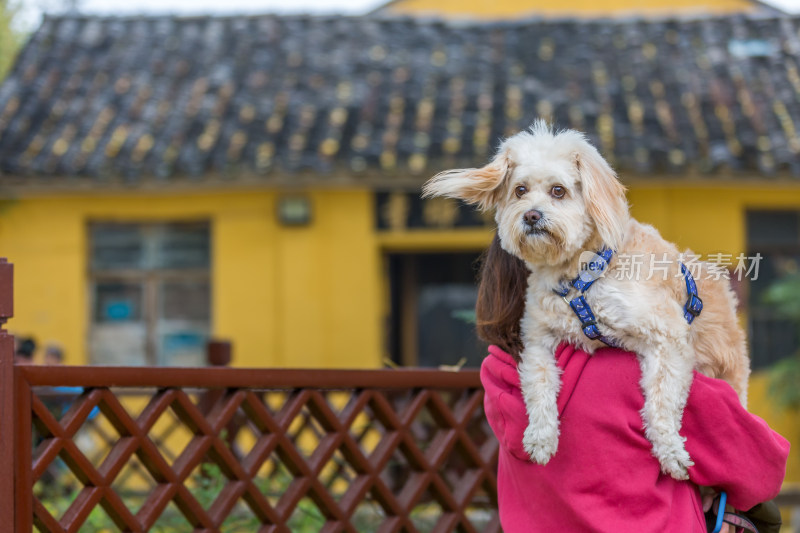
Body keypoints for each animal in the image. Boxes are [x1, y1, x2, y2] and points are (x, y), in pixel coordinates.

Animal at [424, 122, 752, 480]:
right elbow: (538, 385)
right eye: (520, 190)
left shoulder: (668, 336)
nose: (531, 216)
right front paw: (541, 437)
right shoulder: (537, 339)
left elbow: (661, 400)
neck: (579, 275)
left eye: (558, 191)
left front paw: (670, 451)